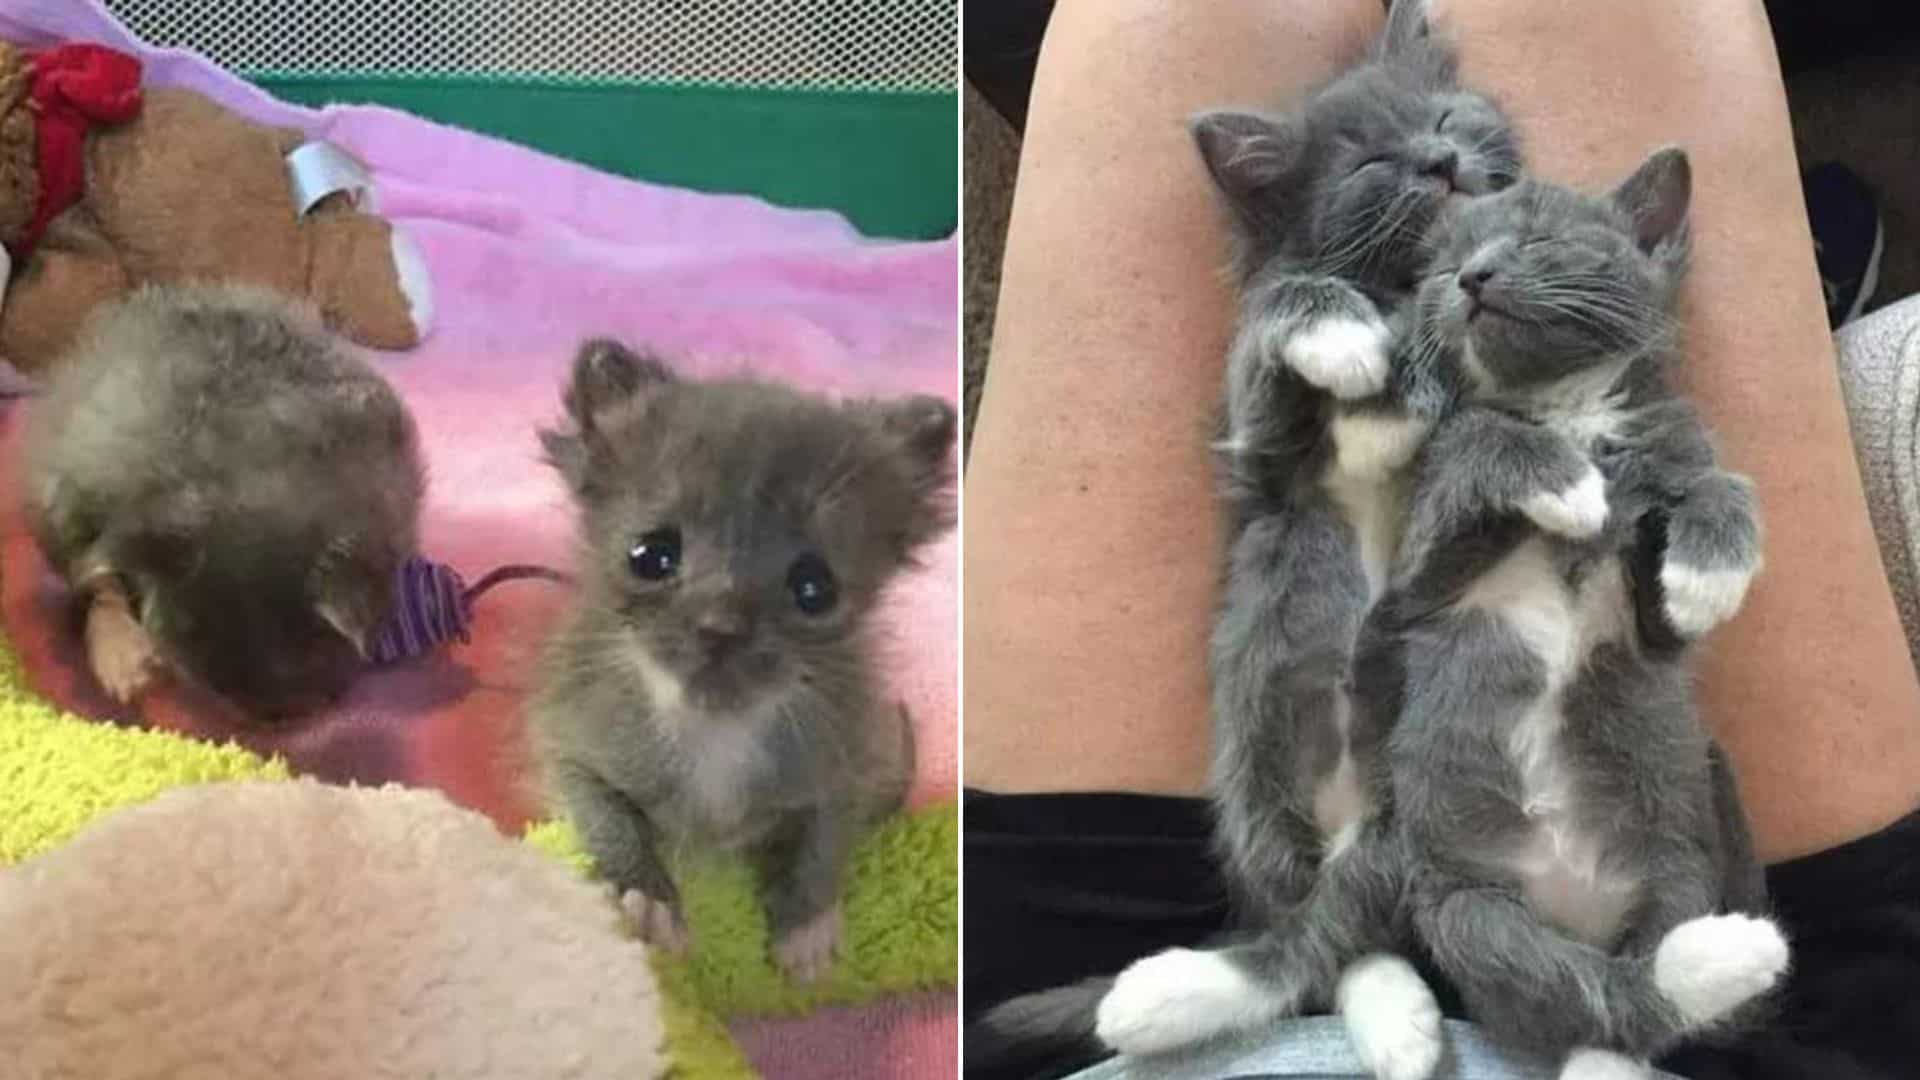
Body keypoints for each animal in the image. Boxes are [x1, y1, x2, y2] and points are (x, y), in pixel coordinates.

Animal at [526, 338, 952, 976]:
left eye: (814, 588)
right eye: (651, 555)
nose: (721, 628)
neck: (715, 732)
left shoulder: (848, 761)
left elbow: (827, 838)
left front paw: (807, 926)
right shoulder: (571, 746)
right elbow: (606, 819)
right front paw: (648, 899)